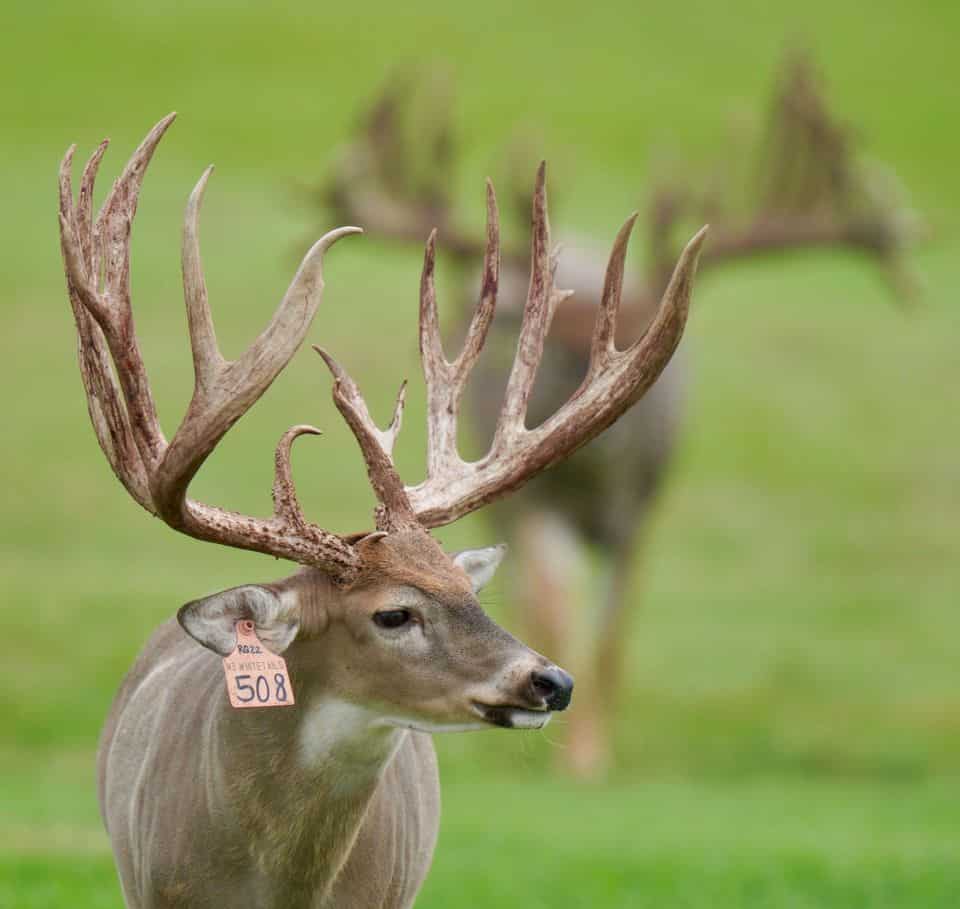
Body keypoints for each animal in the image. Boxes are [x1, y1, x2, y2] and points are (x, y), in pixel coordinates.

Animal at [318, 53, 921, 777]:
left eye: (596, 335)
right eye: (545, 338)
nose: (498, 316)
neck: (593, 478)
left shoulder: (640, 508)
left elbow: (613, 629)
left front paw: (593, 752)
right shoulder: (538, 505)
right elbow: (554, 598)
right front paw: (563, 748)